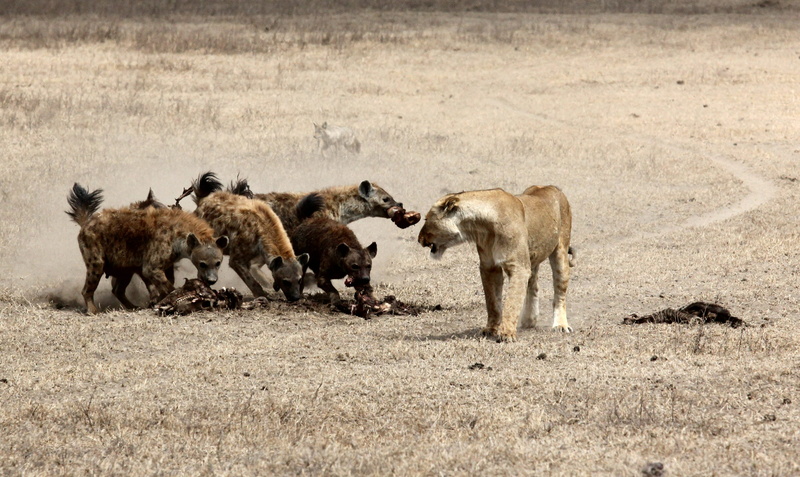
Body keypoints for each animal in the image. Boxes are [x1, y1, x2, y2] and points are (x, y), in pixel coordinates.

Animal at [418, 185, 574, 341]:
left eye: (426, 219)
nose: (419, 240)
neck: (480, 226)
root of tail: (550, 186)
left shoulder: (518, 267)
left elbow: (512, 302)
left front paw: (507, 333)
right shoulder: (489, 267)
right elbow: (492, 302)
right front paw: (491, 329)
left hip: (560, 252)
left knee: (559, 293)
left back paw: (560, 325)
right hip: (532, 256)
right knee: (533, 285)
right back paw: (529, 320)